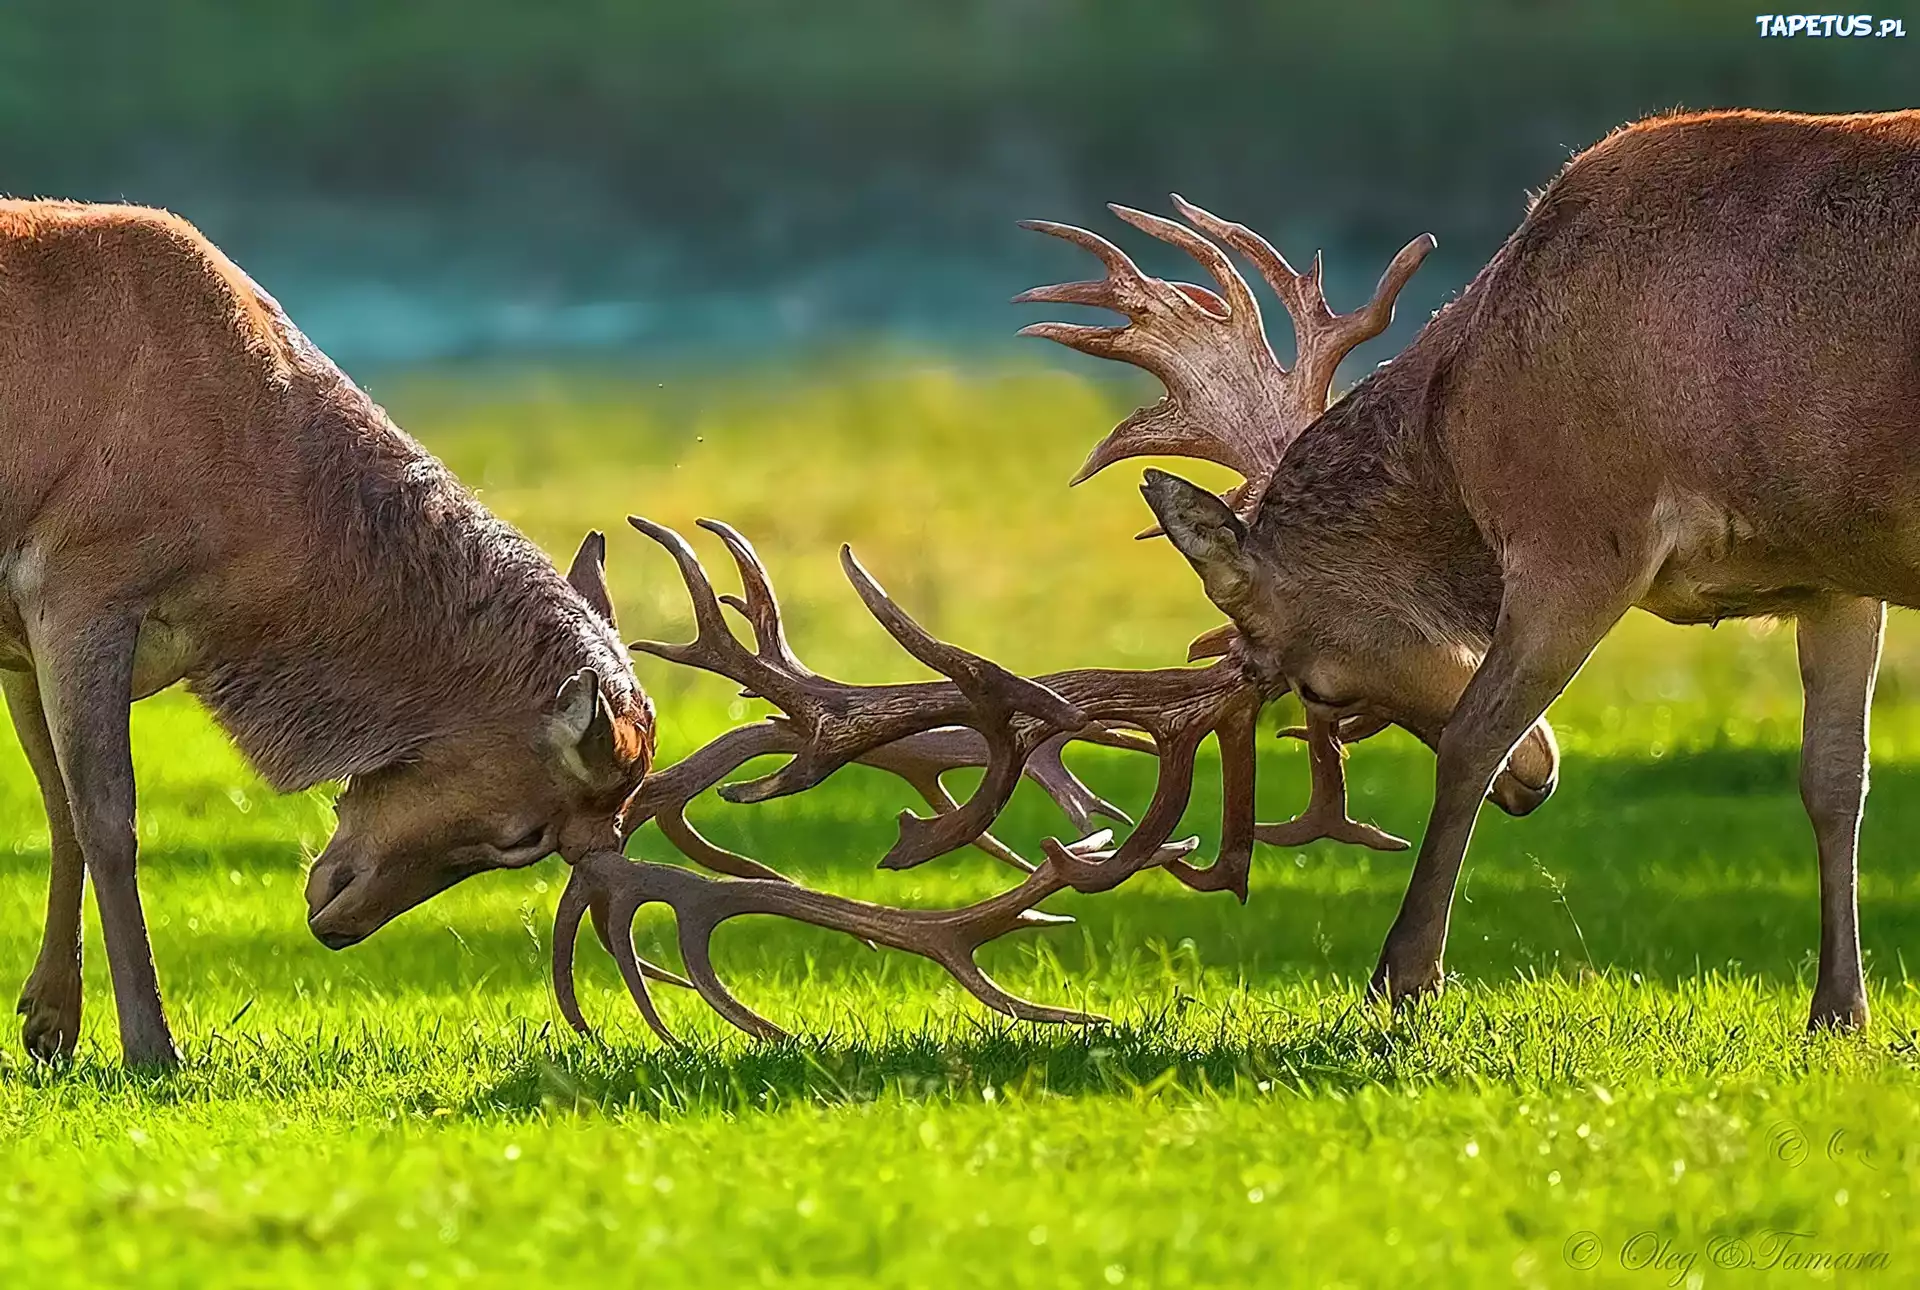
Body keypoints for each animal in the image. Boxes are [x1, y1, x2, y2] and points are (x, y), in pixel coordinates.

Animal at [1029, 113, 1920, 1036]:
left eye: (1319, 688)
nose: (1534, 786)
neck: (1463, 431)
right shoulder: (1832, 572)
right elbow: (1835, 777)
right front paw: (1839, 1011)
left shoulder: (1582, 531)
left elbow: (1470, 740)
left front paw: (1402, 975)